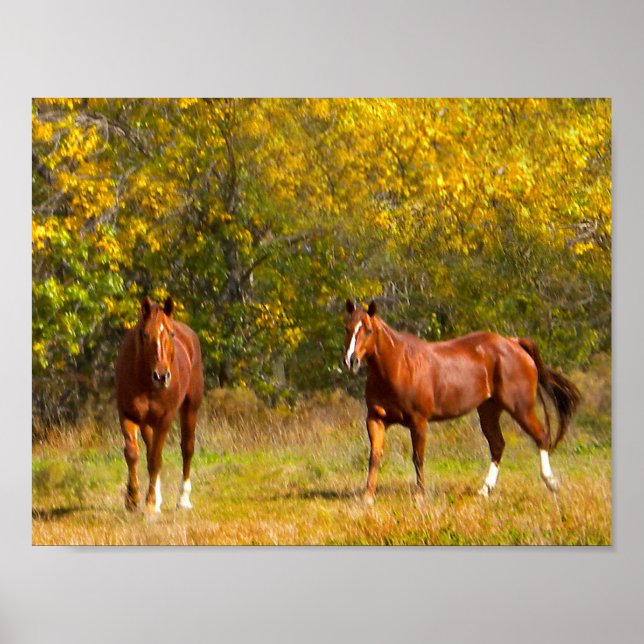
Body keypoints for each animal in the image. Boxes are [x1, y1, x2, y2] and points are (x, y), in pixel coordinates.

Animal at [115, 296, 204, 513]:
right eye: (145, 334)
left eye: (170, 334)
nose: (162, 376)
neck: (145, 381)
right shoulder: (127, 415)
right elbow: (133, 453)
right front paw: (132, 499)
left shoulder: (165, 418)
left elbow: (156, 460)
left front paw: (149, 504)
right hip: (147, 421)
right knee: (149, 450)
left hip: (190, 407)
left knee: (187, 447)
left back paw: (183, 499)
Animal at [343, 299, 581, 505]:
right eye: (347, 328)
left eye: (368, 330)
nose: (350, 360)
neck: (399, 366)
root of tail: (514, 343)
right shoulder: (375, 419)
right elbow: (374, 456)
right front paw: (367, 496)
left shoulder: (419, 421)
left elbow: (418, 457)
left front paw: (419, 496)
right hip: (489, 410)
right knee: (498, 445)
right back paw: (485, 490)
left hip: (520, 408)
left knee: (541, 436)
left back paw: (551, 483)